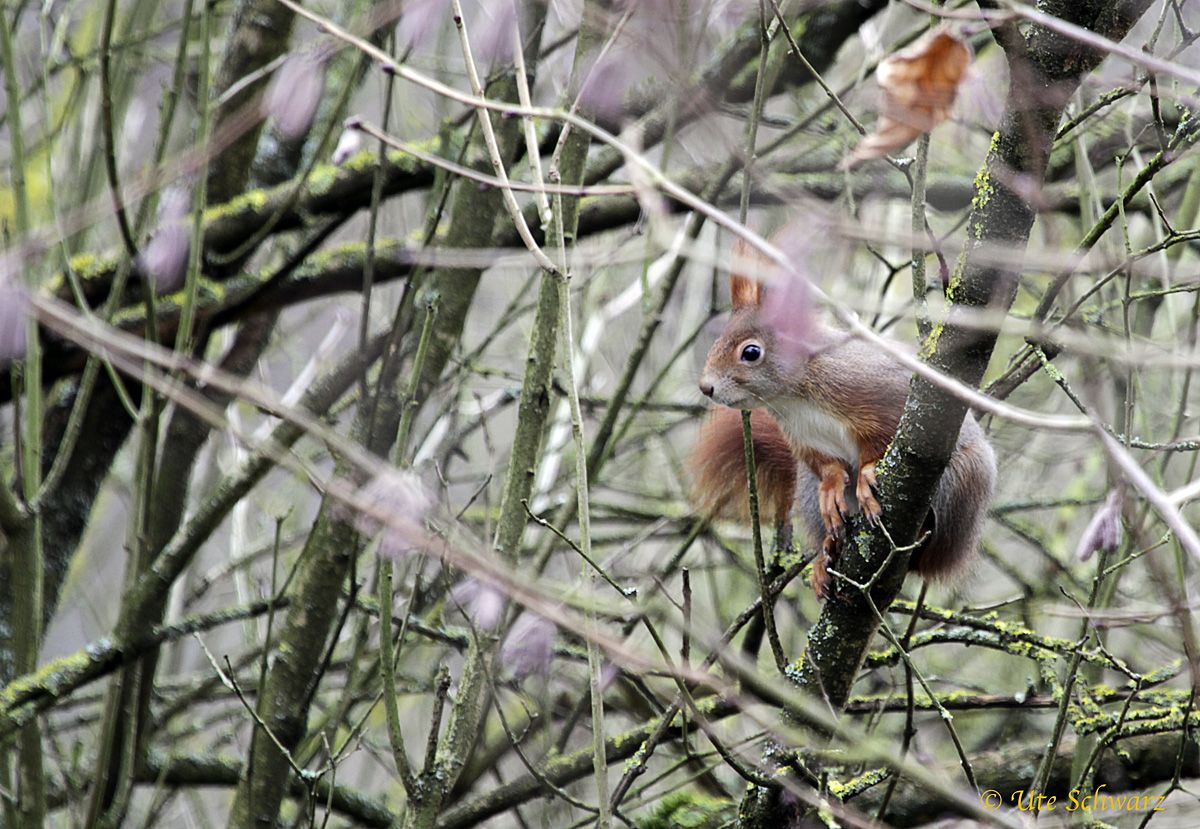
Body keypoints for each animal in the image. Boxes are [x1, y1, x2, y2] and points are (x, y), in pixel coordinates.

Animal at [691, 244, 998, 597]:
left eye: (751, 352)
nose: (706, 387)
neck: (795, 397)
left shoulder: (883, 396)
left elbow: (881, 441)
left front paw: (866, 475)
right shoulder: (804, 438)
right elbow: (825, 464)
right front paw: (832, 487)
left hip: (962, 480)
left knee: (929, 552)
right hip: (805, 492)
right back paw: (827, 554)